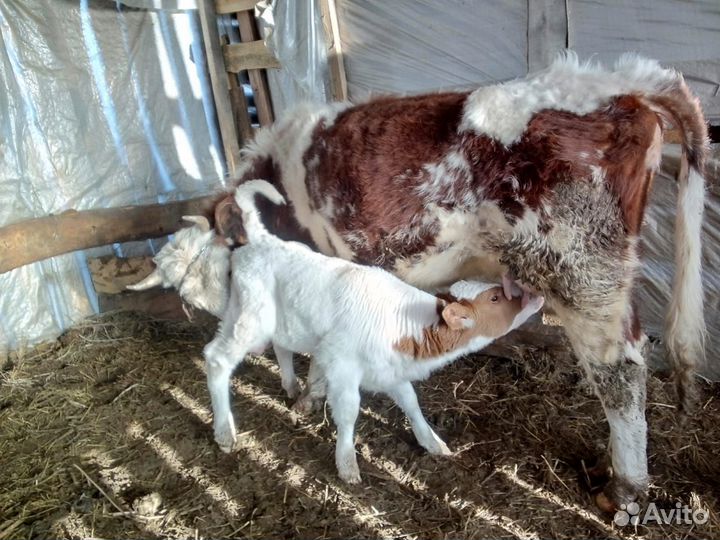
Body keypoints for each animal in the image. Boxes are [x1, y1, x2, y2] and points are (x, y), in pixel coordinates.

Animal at [208, 53, 708, 510]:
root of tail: (619, 81)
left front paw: (308, 397)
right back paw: (607, 463)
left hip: (582, 273)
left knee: (618, 372)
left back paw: (623, 487)